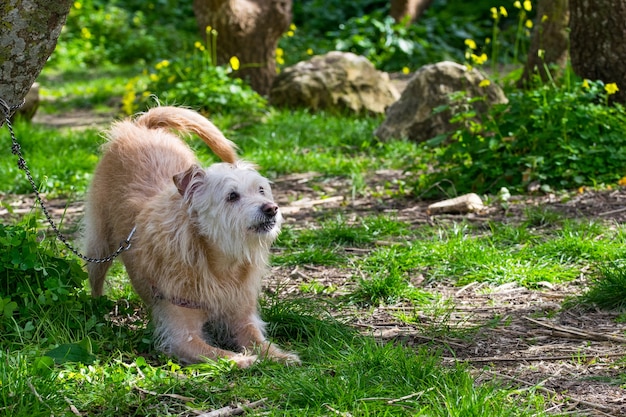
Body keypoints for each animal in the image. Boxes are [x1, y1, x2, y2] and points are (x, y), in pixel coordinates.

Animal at [81, 106, 298, 368]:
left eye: (261, 190)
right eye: (232, 196)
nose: (271, 208)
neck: (221, 264)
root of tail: (139, 128)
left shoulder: (242, 317)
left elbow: (259, 341)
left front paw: (280, 356)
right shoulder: (182, 334)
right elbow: (218, 354)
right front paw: (245, 360)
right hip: (99, 244)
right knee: (96, 277)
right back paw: (97, 309)